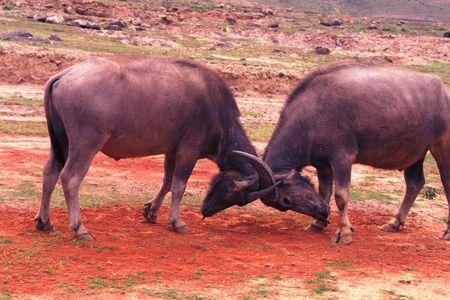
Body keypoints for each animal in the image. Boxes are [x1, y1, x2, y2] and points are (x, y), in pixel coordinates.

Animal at [36, 55, 292, 239]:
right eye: (239, 199)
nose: (205, 212)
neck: (215, 108)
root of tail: (65, 74)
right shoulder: (189, 151)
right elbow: (179, 186)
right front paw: (177, 222)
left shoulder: (172, 150)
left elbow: (167, 182)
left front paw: (151, 212)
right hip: (85, 144)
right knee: (70, 178)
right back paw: (80, 228)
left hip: (60, 144)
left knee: (50, 173)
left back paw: (44, 222)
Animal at [202, 62, 450, 244]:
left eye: (285, 201)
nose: (321, 213)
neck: (312, 113)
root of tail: (444, 90)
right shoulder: (322, 165)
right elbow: (325, 191)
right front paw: (319, 225)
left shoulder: (342, 159)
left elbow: (341, 195)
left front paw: (344, 233)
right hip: (416, 154)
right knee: (415, 183)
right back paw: (395, 222)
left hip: (441, 148)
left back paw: (446, 232)